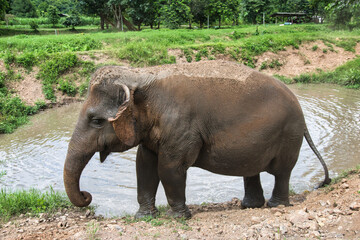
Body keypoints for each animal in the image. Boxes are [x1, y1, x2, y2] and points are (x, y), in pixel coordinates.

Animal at [63, 61, 330, 218]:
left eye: (96, 121)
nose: (87, 196)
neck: (142, 76)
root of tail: (301, 112)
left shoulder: (182, 126)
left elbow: (169, 168)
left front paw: (179, 218)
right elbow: (144, 165)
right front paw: (144, 217)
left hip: (288, 135)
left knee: (282, 172)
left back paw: (275, 206)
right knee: (252, 170)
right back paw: (249, 206)